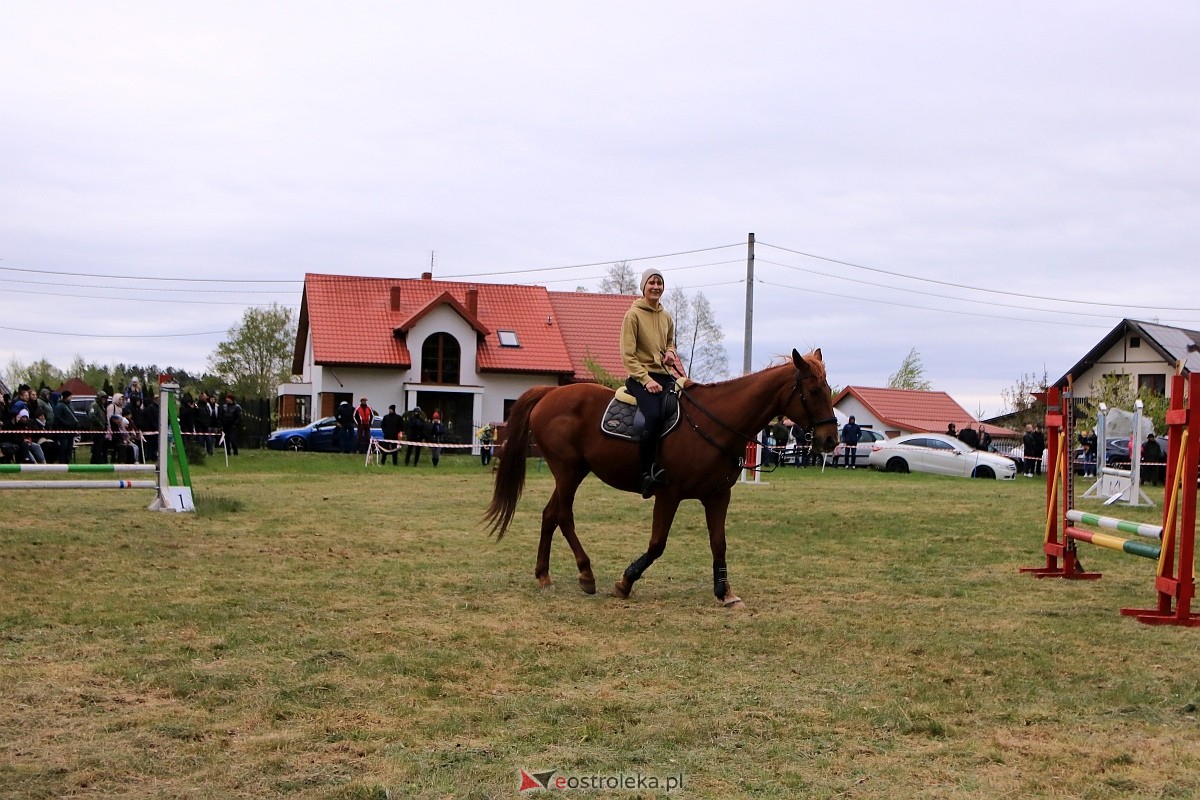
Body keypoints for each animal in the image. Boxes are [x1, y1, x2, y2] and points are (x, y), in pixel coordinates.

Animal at [482, 347, 840, 604]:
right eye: (813, 390)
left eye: (828, 389)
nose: (830, 440)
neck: (715, 421)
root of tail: (548, 393)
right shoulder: (669, 493)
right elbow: (657, 544)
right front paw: (625, 582)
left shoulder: (718, 495)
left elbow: (719, 542)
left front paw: (724, 591)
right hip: (568, 471)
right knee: (563, 515)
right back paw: (586, 574)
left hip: (573, 471)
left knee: (550, 514)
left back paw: (544, 575)